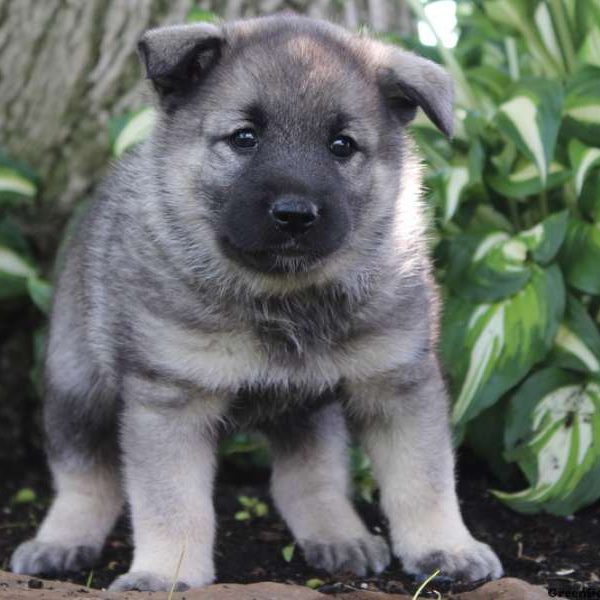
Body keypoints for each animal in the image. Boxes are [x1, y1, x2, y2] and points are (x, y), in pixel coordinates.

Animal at [11, 14, 504, 592]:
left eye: (342, 145)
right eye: (244, 138)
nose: (295, 215)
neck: (284, 297)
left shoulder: (397, 382)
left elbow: (424, 478)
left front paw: (445, 548)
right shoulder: (171, 399)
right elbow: (171, 503)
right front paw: (165, 573)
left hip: (307, 410)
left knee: (306, 476)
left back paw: (338, 534)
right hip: (77, 384)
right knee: (84, 476)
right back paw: (60, 540)